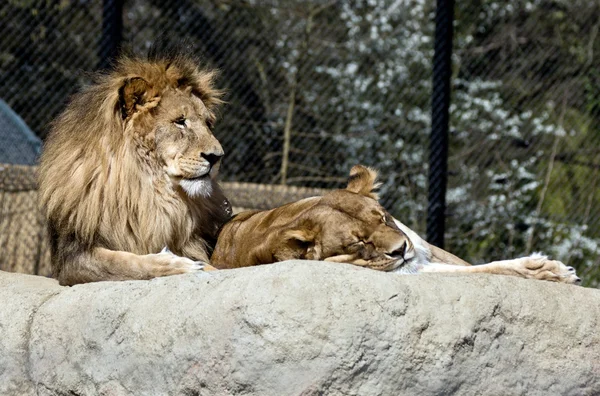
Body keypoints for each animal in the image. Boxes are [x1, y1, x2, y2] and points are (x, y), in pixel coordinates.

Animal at [37, 48, 230, 284]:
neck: (145, 190)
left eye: (208, 124)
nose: (217, 157)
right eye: (180, 121)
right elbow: (125, 262)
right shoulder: (72, 258)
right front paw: (179, 264)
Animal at [212, 165, 580, 284]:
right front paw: (548, 271)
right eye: (359, 243)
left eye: (384, 218)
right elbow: (483, 269)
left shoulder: (428, 250)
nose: (401, 249)